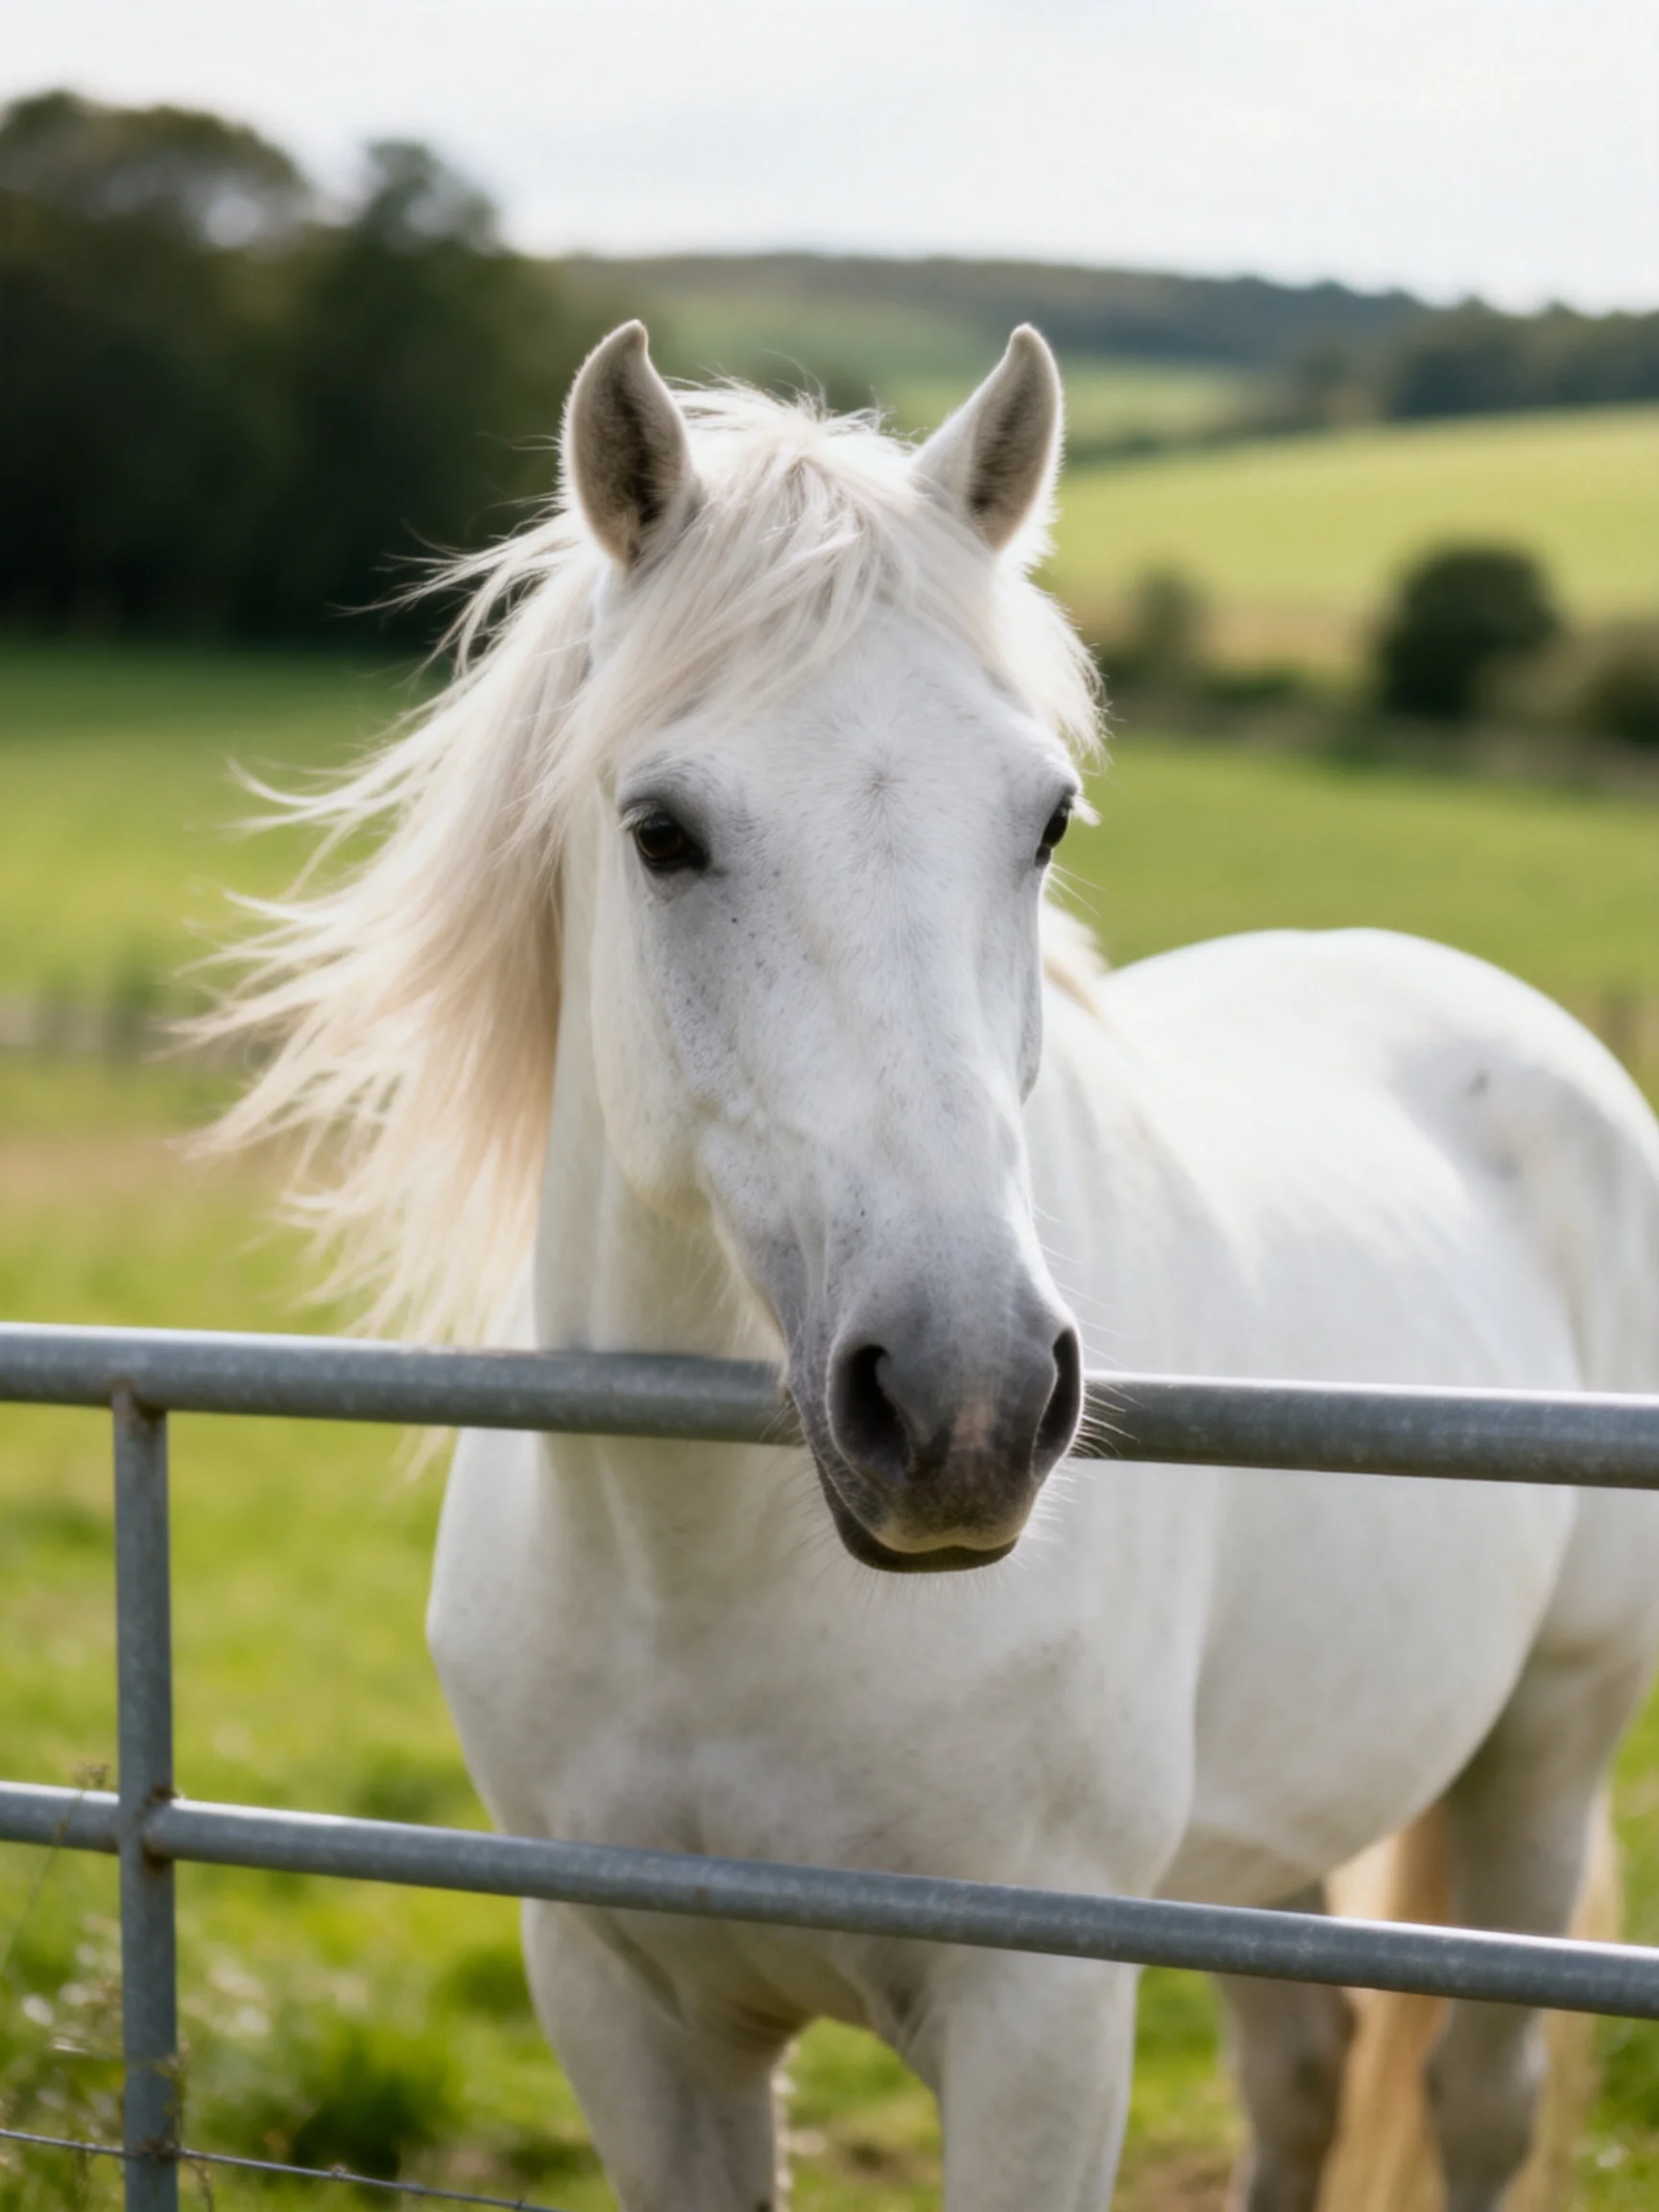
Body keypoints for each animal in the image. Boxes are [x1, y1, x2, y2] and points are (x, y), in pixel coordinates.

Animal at [210, 321, 1659, 2210]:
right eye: (661, 831)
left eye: (1044, 820)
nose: (965, 1404)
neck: (697, 1573)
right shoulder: (623, 2004)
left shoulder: (1040, 2019)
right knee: (1303, 2075)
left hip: (1541, 1754)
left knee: (1479, 2096)